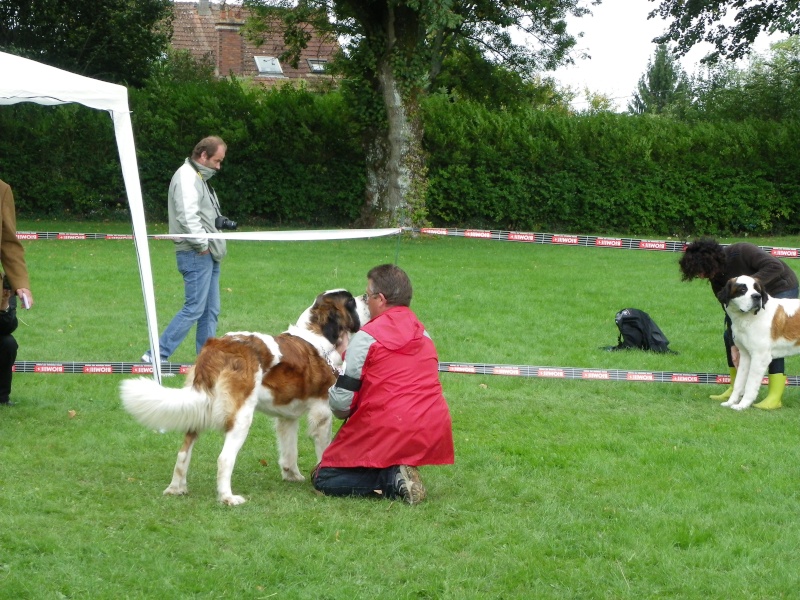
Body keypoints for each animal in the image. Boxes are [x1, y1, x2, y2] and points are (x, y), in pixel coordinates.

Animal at [120, 288, 370, 504]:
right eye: (350, 302)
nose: (366, 296)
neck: (318, 334)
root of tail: (217, 346)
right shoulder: (322, 410)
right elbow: (323, 447)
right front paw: (318, 474)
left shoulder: (287, 416)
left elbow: (289, 448)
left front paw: (292, 475)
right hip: (241, 416)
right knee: (224, 458)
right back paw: (228, 498)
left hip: (200, 407)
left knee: (183, 452)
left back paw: (176, 488)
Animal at [716, 278, 800, 410]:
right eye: (742, 289)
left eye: (757, 289)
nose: (757, 296)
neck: (745, 318)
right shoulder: (745, 355)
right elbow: (738, 382)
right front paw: (731, 402)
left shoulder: (760, 357)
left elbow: (750, 384)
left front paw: (742, 405)